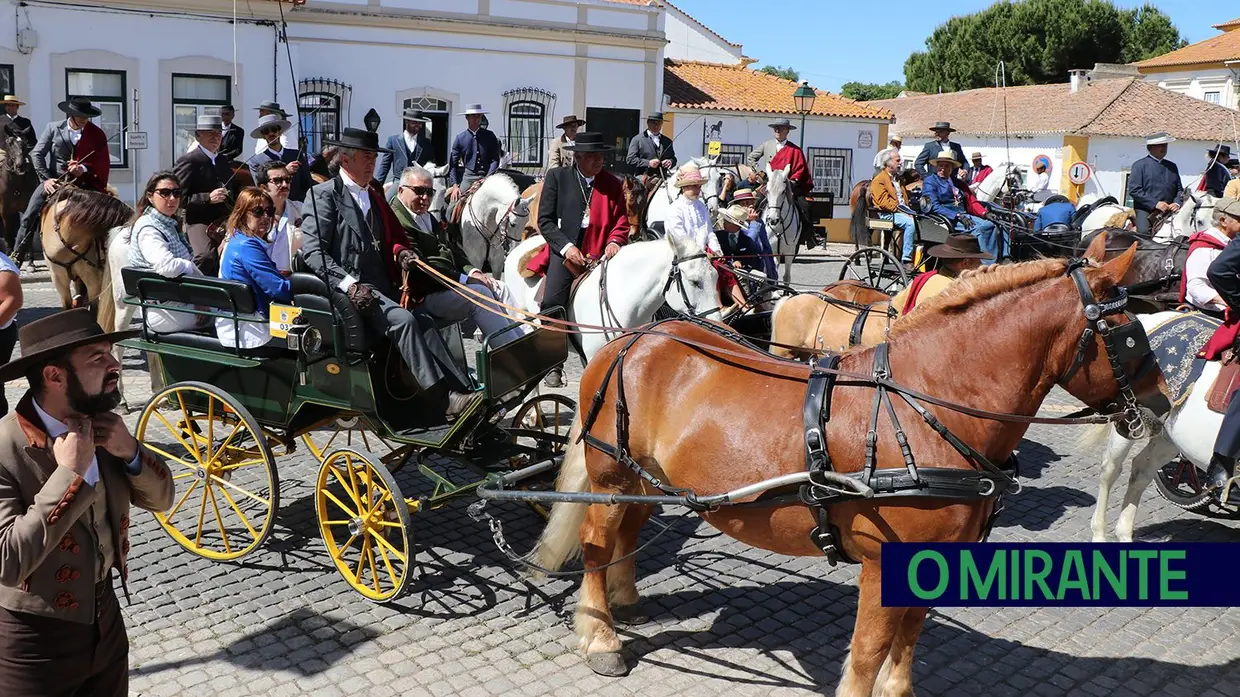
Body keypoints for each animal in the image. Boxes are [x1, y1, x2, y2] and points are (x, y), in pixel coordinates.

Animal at [535, 235, 1160, 689]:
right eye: (1130, 334)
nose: (1161, 405)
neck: (926, 402)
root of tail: (634, 338)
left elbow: (909, 638)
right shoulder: (884, 561)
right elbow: (868, 651)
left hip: (652, 477)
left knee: (630, 529)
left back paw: (625, 602)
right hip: (610, 474)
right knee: (598, 540)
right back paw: (601, 636)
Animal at [1086, 310, 1230, 543]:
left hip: (1169, 438)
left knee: (1142, 470)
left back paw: (1124, 534)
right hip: (1131, 420)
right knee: (1110, 469)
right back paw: (1099, 533)